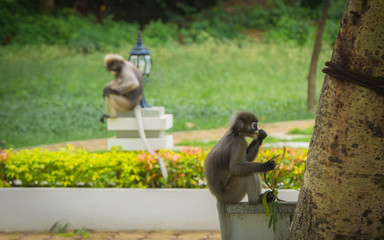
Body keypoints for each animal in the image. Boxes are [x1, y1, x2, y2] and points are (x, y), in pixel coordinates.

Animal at [99, 54, 168, 182]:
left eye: (114, 67)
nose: (113, 71)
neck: (123, 64)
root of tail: (136, 103)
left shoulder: (124, 70)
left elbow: (133, 83)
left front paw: (108, 89)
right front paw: (106, 86)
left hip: (125, 103)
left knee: (111, 95)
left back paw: (112, 114)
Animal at [204, 111, 276, 239]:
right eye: (254, 125)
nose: (257, 129)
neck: (235, 133)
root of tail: (219, 197)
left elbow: (245, 160)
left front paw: (260, 137)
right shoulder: (238, 143)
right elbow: (234, 168)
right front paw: (267, 166)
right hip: (232, 193)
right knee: (247, 175)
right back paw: (255, 200)